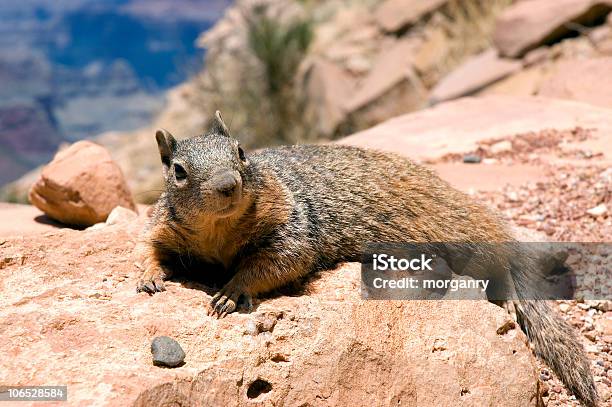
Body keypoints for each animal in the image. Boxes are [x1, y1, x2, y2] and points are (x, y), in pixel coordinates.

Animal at [135, 111, 596, 407]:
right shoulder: (164, 226)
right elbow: (147, 247)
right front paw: (148, 277)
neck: (220, 233)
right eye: (178, 170)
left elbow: (280, 260)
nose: (229, 184)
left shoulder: (293, 222)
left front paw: (231, 291)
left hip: (464, 237)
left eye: (242, 151)